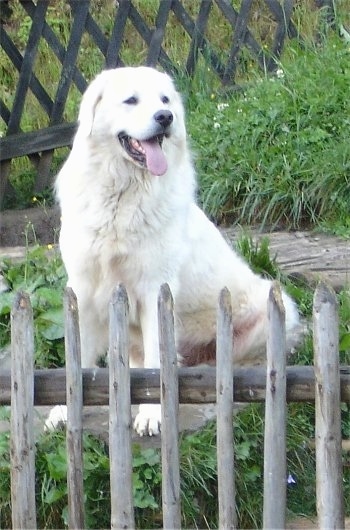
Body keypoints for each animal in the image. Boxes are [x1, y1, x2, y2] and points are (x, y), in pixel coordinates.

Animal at [54, 66, 298, 436]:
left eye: (165, 100)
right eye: (131, 100)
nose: (165, 117)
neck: (123, 193)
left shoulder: (155, 288)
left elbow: (158, 362)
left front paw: (151, 414)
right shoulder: (83, 289)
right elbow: (76, 354)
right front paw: (61, 409)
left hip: (273, 311)